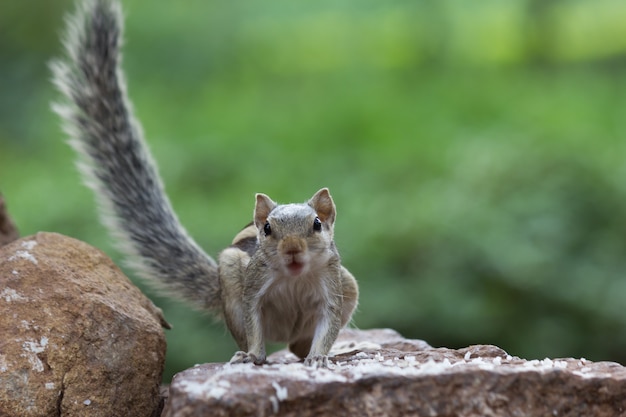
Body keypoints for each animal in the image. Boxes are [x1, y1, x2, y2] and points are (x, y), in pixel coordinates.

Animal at [48, 0, 356, 364]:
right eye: (267, 229)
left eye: (317, 224)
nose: (292, 250)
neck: (295, 277)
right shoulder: (252, 289)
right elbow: (253, 323)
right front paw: (252, 355)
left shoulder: (331, 288)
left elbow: (329, 324)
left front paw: (320, 357)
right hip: (231, 277)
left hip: (348, 285)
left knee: (298, 345)